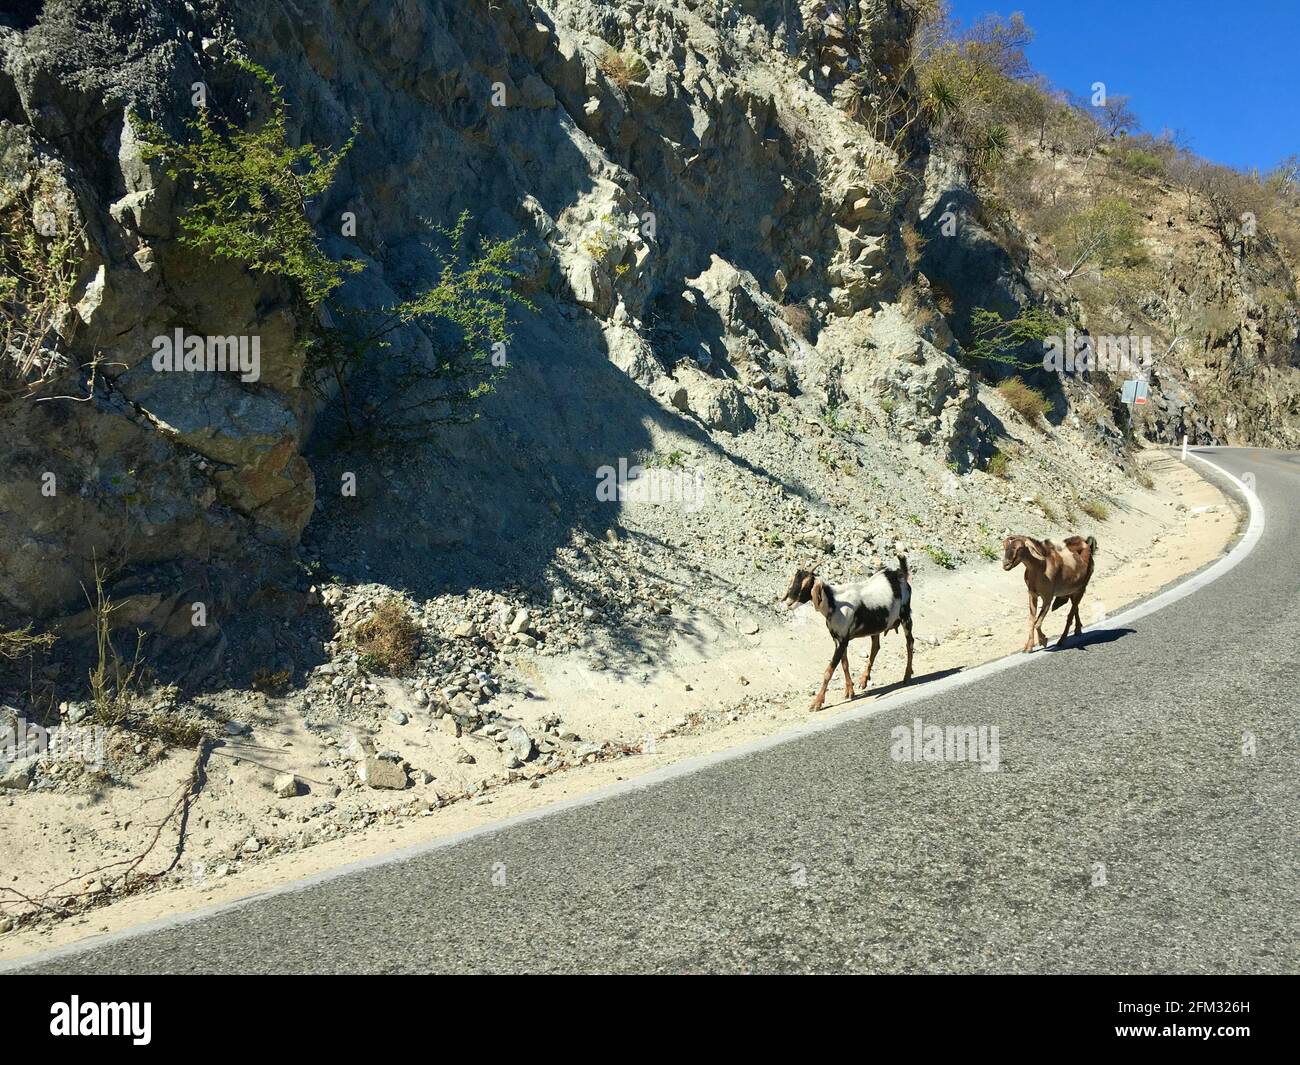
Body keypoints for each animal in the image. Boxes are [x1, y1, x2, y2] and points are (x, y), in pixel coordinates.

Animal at [780, 559, 915, 717]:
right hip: (877, 627)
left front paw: (816, 703)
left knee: (910, 643)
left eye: (807, 583)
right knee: (876, 647)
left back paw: (907, 676)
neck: (834, 602)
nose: (789, 603)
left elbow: (828, 671)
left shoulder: (842, 640)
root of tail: (899, 574)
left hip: (905, 616)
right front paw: (850, 691)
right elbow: (845, 664)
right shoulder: (839, 639)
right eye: (794, 579)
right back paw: (864, 679)